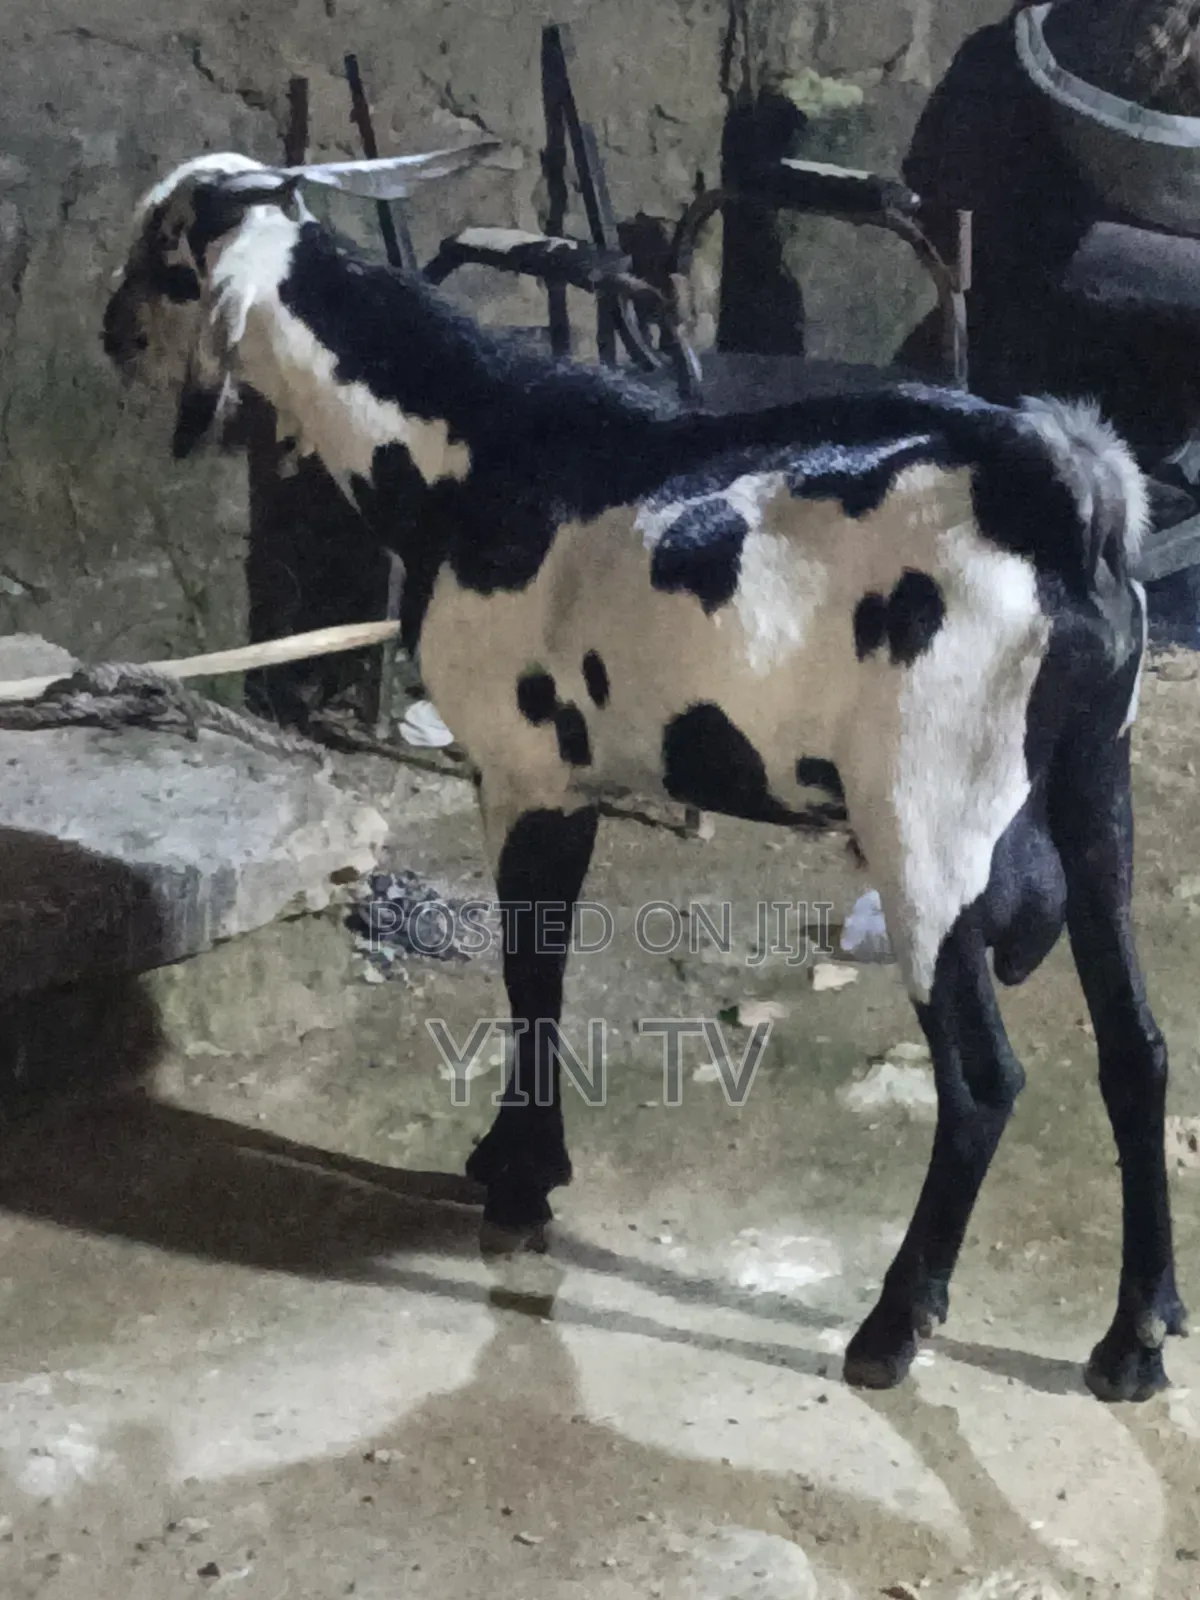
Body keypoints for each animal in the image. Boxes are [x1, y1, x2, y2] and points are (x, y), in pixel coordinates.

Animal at [103, 151, 1186, 1403]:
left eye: (166, 265)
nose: (110, 336)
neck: (474, 447)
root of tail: (1068, 506)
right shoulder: (571, 786)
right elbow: (546, 969)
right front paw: (517, 1158)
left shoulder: (524, 772)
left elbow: (529, 972)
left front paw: (520, 1181)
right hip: (1095, 794)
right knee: (1137, 1050)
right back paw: (1136, 1336)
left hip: (932, 829)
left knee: (983, 1082)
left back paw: (893, 1324)